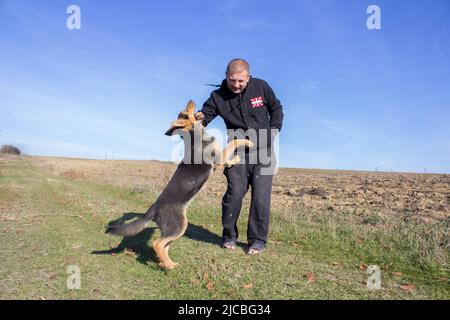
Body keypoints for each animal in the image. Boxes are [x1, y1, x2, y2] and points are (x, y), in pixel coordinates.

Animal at [106, 100, 253, 270]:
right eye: (186, 112)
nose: (191, 101)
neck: (195, 135)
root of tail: (153, 208)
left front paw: (236, 158)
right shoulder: (219, 159)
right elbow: (234, 143)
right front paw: (247, 143)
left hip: (174, 229)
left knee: (164, 245)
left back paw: (166, 263)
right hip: (179, 225)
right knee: (157, 243)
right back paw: (169, 265)